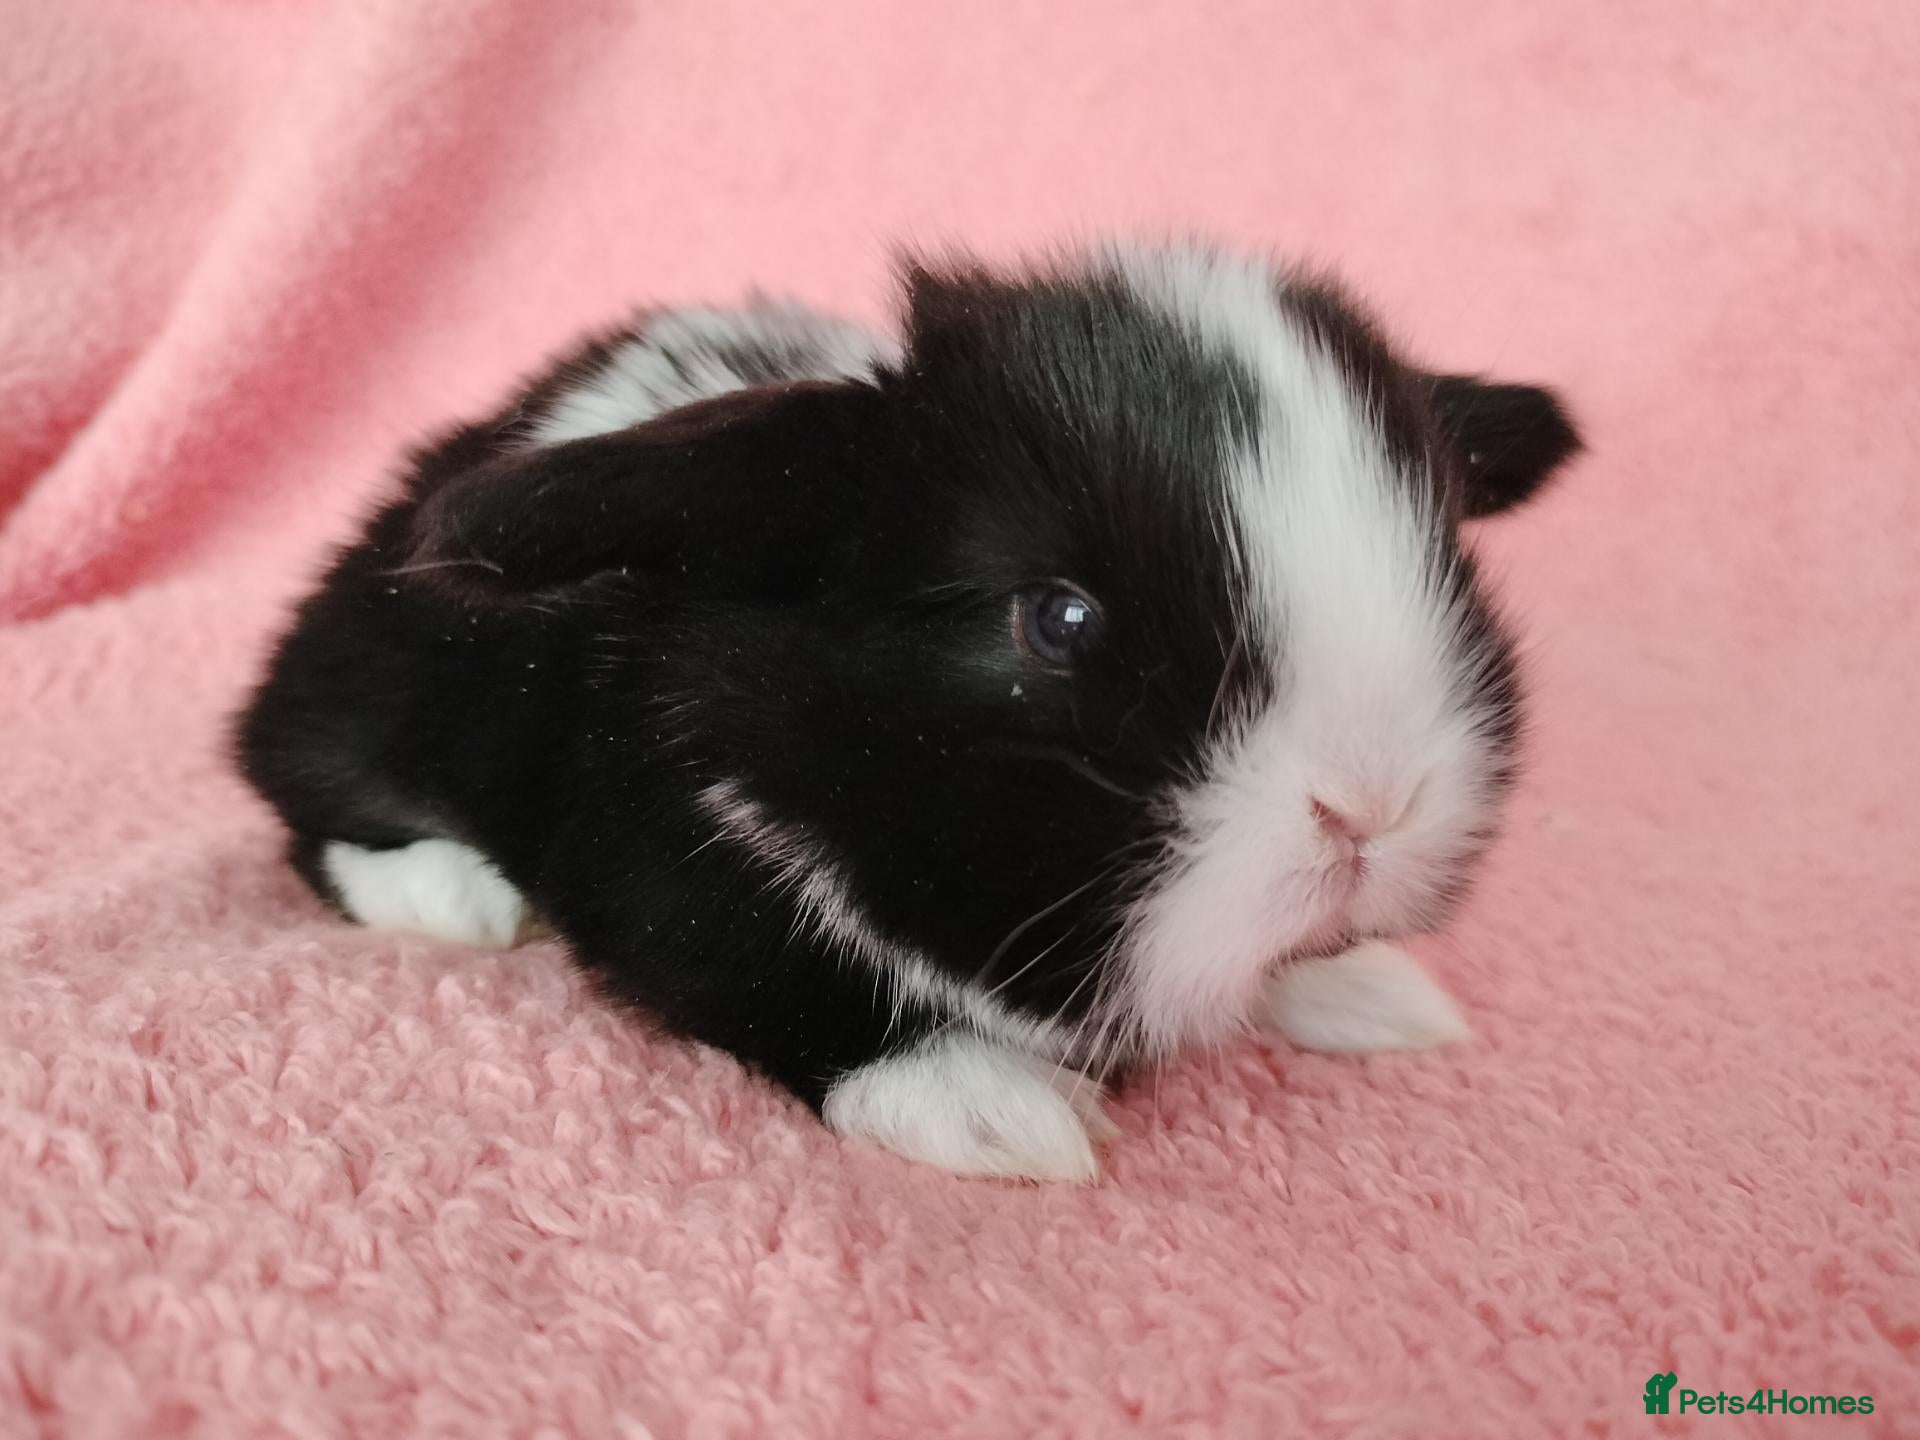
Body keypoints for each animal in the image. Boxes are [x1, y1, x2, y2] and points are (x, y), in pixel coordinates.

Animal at [235, 240, 1581, 1182]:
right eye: (1060, 620)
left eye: (1447, 563)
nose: (1371, 808)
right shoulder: (679, 871)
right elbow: (798, 989)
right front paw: (994, 1111)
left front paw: (1371, 992)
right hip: (373, 703)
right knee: (304, 799)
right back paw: (458, 899)